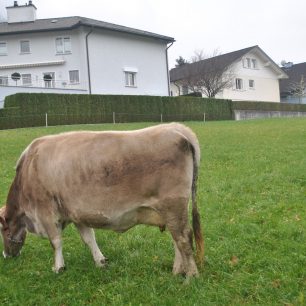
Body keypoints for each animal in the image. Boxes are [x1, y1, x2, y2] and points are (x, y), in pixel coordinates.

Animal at [1, 122, 204, 278]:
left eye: (2, 230)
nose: (6, 255)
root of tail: (178, 128)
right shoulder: (77, 213)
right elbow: (89, 238)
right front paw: (101, 261)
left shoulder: (45, 211)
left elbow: (56, 241)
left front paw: (58, 267)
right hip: (172, 210)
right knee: (177, 238)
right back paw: (177, 271)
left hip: (173, 205)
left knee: (184, 237)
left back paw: (191, 276)